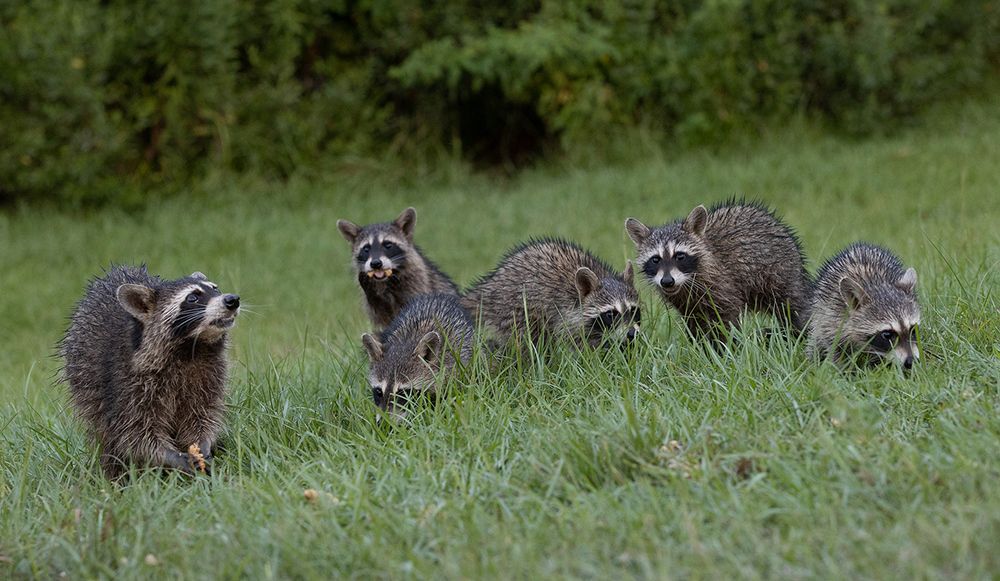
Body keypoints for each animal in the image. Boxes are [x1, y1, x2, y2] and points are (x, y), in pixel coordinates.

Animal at [60, 265, 240, 478]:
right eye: (192, 298)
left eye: (216, 288)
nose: (232, 299)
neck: (192, 348)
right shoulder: (126, 382)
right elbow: (135, 434)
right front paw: (171, 456)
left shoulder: (210, 373)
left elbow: (203, 414)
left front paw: (203, 444)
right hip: (86, 384)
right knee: (106, 434)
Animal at [460, 238, 641, 350]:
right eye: (611, 314)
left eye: (633, 310)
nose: (632, 334)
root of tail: (489, 285)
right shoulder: (564, 315)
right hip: (514, 309)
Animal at [625, 200, 811, 341]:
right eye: (655, 259)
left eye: (680, 256)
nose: (667, 281)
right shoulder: (687, 304)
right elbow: (695, 324)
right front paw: (702, 349)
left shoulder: (722, 284)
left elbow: (727, 319)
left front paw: (725, 348)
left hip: (781, 274)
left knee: (790, 306)